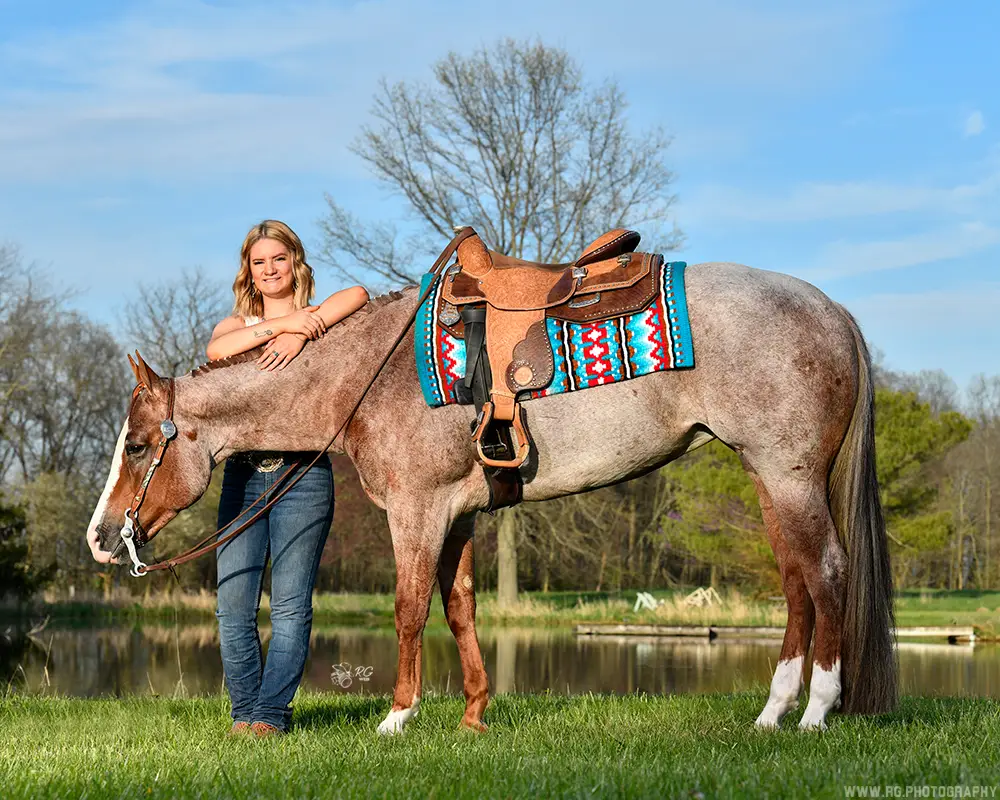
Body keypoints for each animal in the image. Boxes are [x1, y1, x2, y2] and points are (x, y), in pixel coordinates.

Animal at [86, 260, 897, 733]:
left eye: (137, 445)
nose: (99, 537)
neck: (367, 377)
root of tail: (832, 310)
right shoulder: (460, 513)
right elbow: (461, 608)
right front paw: (475, 714)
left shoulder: (418, 510)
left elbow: (409, 609)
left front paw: (398, 719)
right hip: (768, 479)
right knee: (796, 586)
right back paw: (771, 714)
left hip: (789, 476)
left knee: (827, 575)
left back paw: (816, 712)